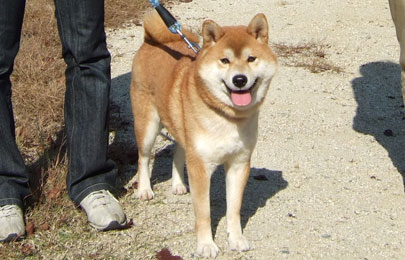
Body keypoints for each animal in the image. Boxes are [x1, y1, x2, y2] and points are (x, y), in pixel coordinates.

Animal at [131, 10, 276, 258]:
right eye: (225, 60)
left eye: (251, 59)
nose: (239, 79)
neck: (228, 118)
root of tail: (150, 41)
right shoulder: (200, 166)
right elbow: (204, 213)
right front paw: (206, 245)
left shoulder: (239, 163)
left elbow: (234, 209)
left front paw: (236, 239)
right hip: (148, 126)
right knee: (144, 157)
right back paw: (144, 189)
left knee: (178, 152)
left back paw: (178, 184)